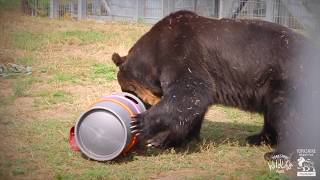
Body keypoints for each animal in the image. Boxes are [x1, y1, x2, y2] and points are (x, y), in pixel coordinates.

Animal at [112, 10, 318, 158]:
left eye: (128, 91)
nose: (139, 105)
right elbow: (193, 106)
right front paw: (169, 140)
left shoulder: (181, 52)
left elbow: (190, 91)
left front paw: (142, 124)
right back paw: (257, 138)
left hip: (286, 79)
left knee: (285, 113)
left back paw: (277, 153)